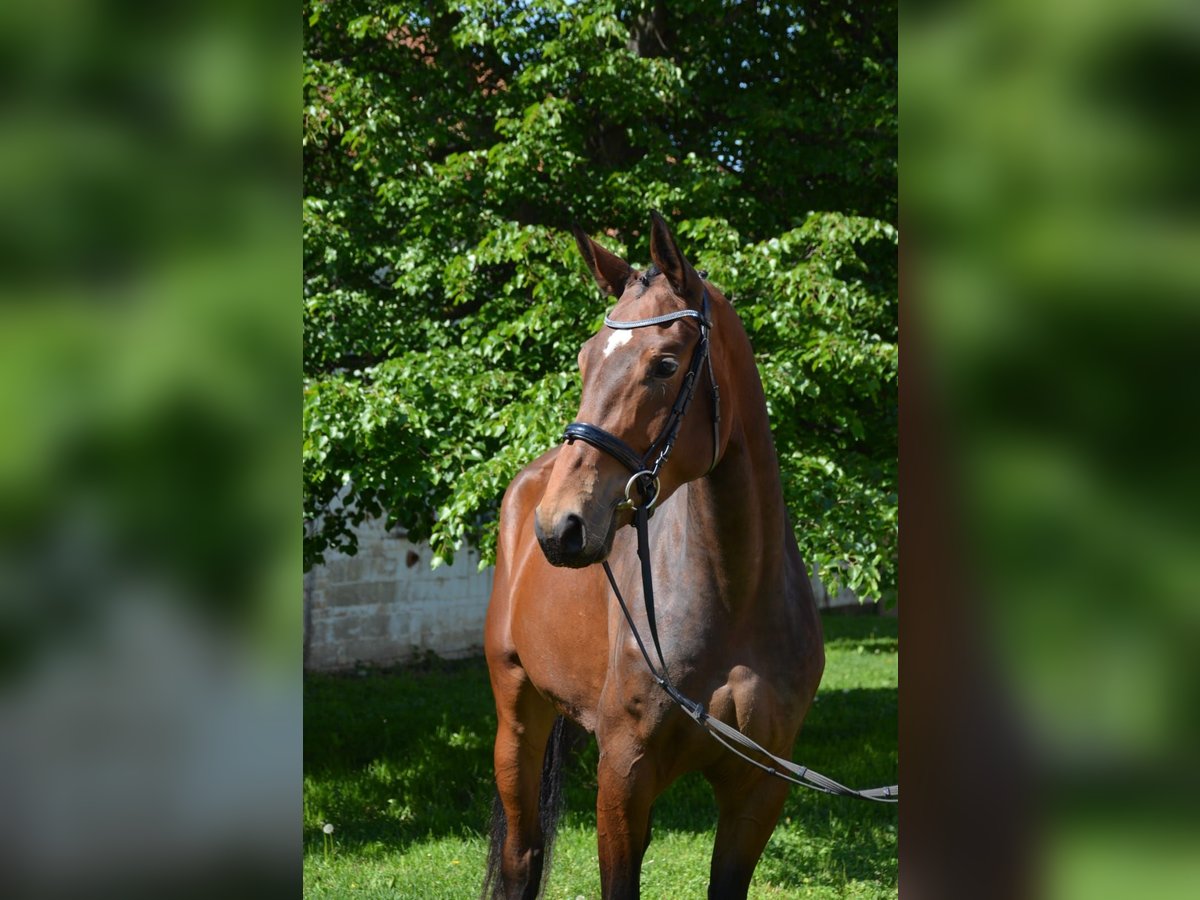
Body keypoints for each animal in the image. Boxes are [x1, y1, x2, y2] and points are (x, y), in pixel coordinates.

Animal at [477, 214, 825, 897]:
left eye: (665, 364)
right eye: (584, 360)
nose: (560, 527)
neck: (736, 598)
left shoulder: (759, 790)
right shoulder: (624, 776)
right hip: (516, 718)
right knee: (522, 856)